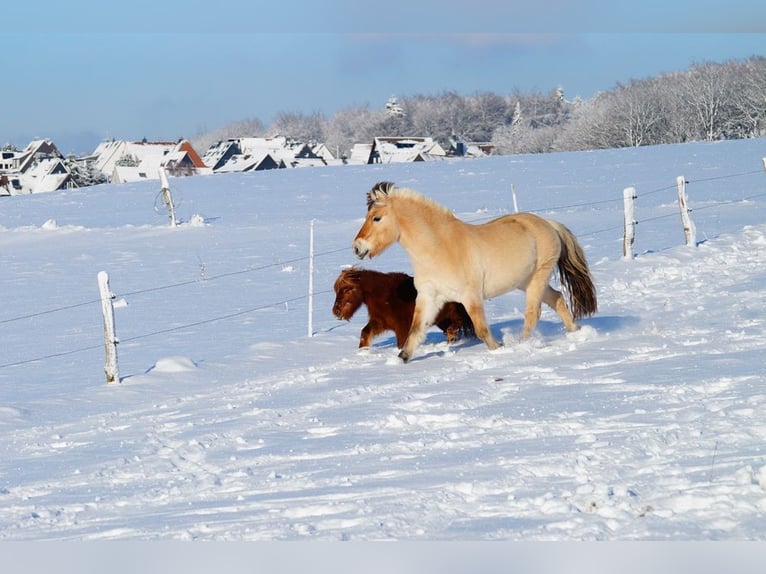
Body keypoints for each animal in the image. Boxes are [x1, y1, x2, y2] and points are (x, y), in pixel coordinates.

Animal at [332, 267, 475, 349]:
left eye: (347, 289)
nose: (336, 312)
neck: (384, 296)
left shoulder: (402, 327)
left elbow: (401, 344)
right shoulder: (380, 322)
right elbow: (365, 333)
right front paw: (363, 352)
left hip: (451, 314)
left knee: (457, 322)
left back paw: (451, 336)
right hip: (441, 320)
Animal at [352, 181, 598, 362]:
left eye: (376, 218)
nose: (357, 247)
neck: (440, 248)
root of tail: (548, 224)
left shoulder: (470, 296)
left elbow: (481, 330)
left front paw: (498, 349)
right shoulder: (429, 297)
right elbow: (416, 329)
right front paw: (402, 358)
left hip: (538, 277)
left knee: (533, 313)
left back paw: (522, 343)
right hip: (526, 281)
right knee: (557, 299)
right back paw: (576, 331)